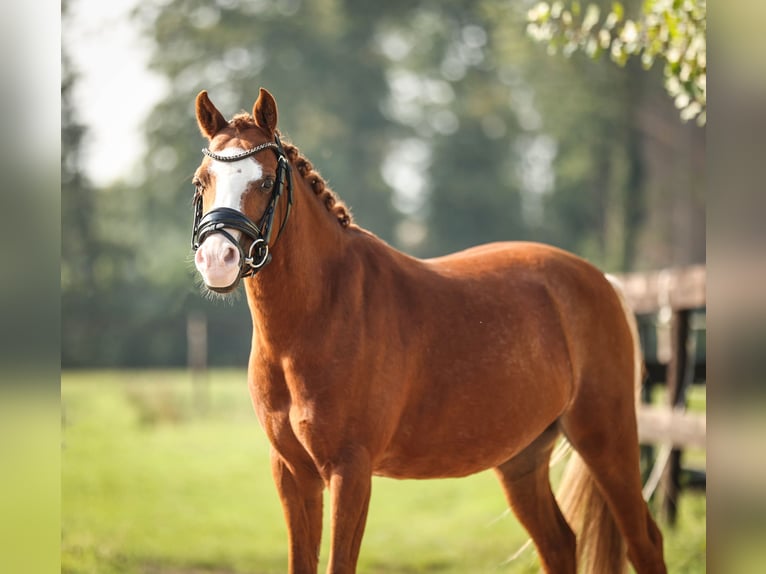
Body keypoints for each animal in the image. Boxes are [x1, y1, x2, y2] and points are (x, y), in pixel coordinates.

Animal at [190, 88, 664, 572]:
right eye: (201, 182)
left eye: (266, 182)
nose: (217, 260)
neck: (319, 316)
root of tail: (600, 280)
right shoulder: (291, 473)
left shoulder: (350, 471)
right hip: (523, 459)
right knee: (560, 543)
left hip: (606, 440)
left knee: (644, 541)